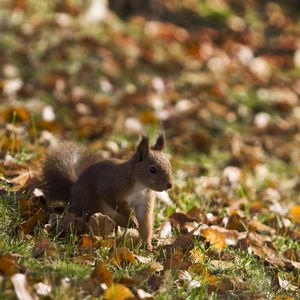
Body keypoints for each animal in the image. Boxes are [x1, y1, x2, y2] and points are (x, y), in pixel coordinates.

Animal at [42, 135, 173, 250]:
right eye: (152, 169)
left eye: (169, 164)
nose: (169, 185)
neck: (140, 187)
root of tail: (72, 194)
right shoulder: (111, 188)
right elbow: (116, 203)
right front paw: (132, 220)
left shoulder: (145, 200)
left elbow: (145, 221)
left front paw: (147, 244)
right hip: (89, 202)